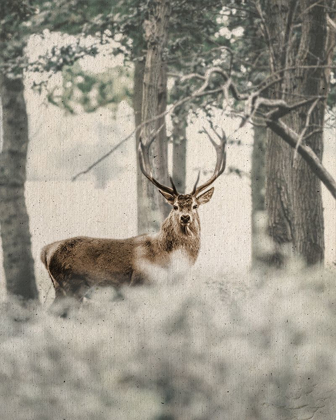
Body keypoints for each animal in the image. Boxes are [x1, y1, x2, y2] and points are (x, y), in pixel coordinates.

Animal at [40, 125, 227, 308]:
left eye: (195, 206)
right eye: (175, 206)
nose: (185, 217)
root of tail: (46, 251)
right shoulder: (140, 284)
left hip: (61, 287)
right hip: (71, 285)